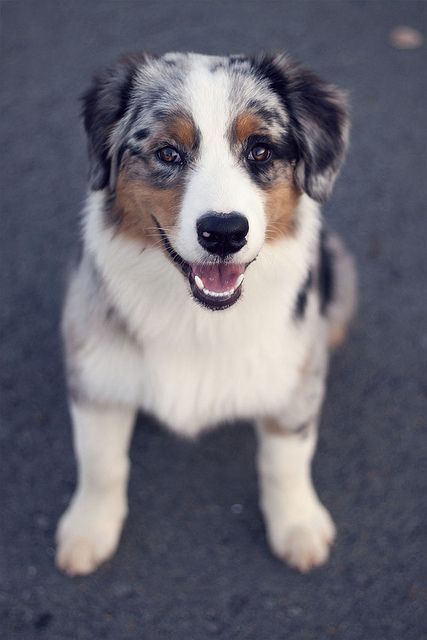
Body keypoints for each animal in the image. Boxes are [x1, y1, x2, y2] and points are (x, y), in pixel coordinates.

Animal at [56, 52, 358, 576]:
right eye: (167, 153)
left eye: (260, 151)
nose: (224, 232)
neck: (197, 318)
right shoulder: (94, 371)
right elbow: (100, 462)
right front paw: (88, 530)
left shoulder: (295, 375)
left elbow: (285, 460)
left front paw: (298, 527)